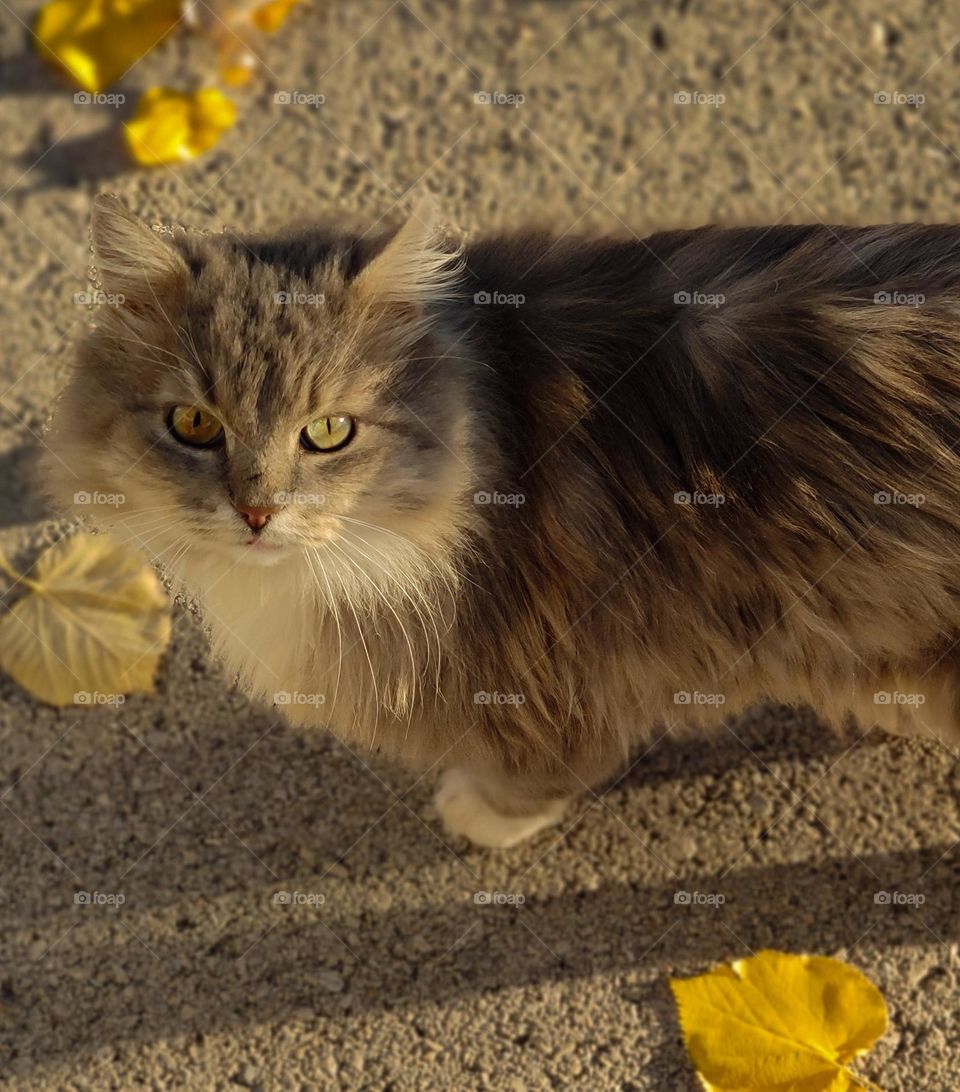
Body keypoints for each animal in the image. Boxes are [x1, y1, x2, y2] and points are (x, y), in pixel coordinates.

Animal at [43, 194, 960, 843]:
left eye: (329, 432)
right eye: (193, 425)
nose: (257, 510)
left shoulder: (553, 667)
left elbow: (539, 767)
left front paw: (479, 813)